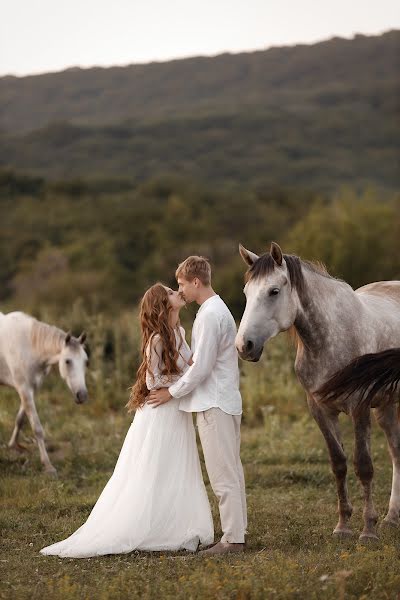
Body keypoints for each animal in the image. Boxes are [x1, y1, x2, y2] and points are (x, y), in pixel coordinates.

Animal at [0, 312, 88, 476]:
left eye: (86, 361)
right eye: (67, 361)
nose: (82, 395)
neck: (29, 347)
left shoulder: (32, 388)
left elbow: (20, 419)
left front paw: (13, 445)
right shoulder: (24, 389)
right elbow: (37, 428)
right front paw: (48, 466)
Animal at [236, 241, 400, 540]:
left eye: (273, 291)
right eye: (246, 293)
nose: (244, 346)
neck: (332, 335)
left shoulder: (359, 407)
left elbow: (364, 466)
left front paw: (368, 530)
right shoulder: (320, 409)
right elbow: (339, 464)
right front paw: (343, 526)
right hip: (386, 405)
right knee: (396, 450)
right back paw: (392, 518)